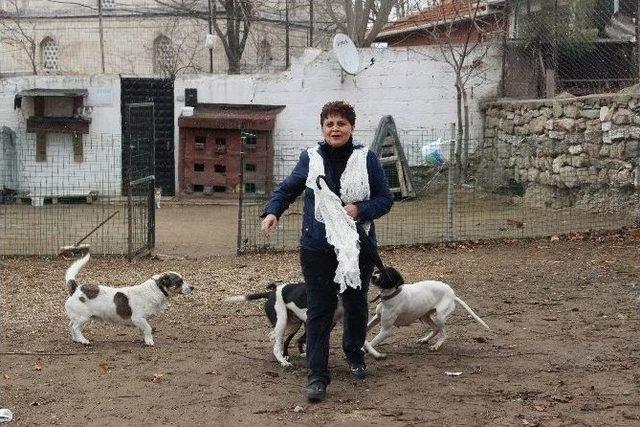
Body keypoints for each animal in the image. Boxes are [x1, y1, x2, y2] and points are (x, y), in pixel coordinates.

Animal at [62, 252, 194, 346]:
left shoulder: (141, 321)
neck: (156, 289)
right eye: (179, 282)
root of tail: (76, 288)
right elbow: (148, 328)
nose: (192, 287)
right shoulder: (138, 318)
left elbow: (144, 330)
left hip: (78, 317)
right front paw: (150, 341)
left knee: (70, 325)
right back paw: (83, 340)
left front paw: (145, 339)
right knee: (75, 328)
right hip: (83, 317)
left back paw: (76, 339)